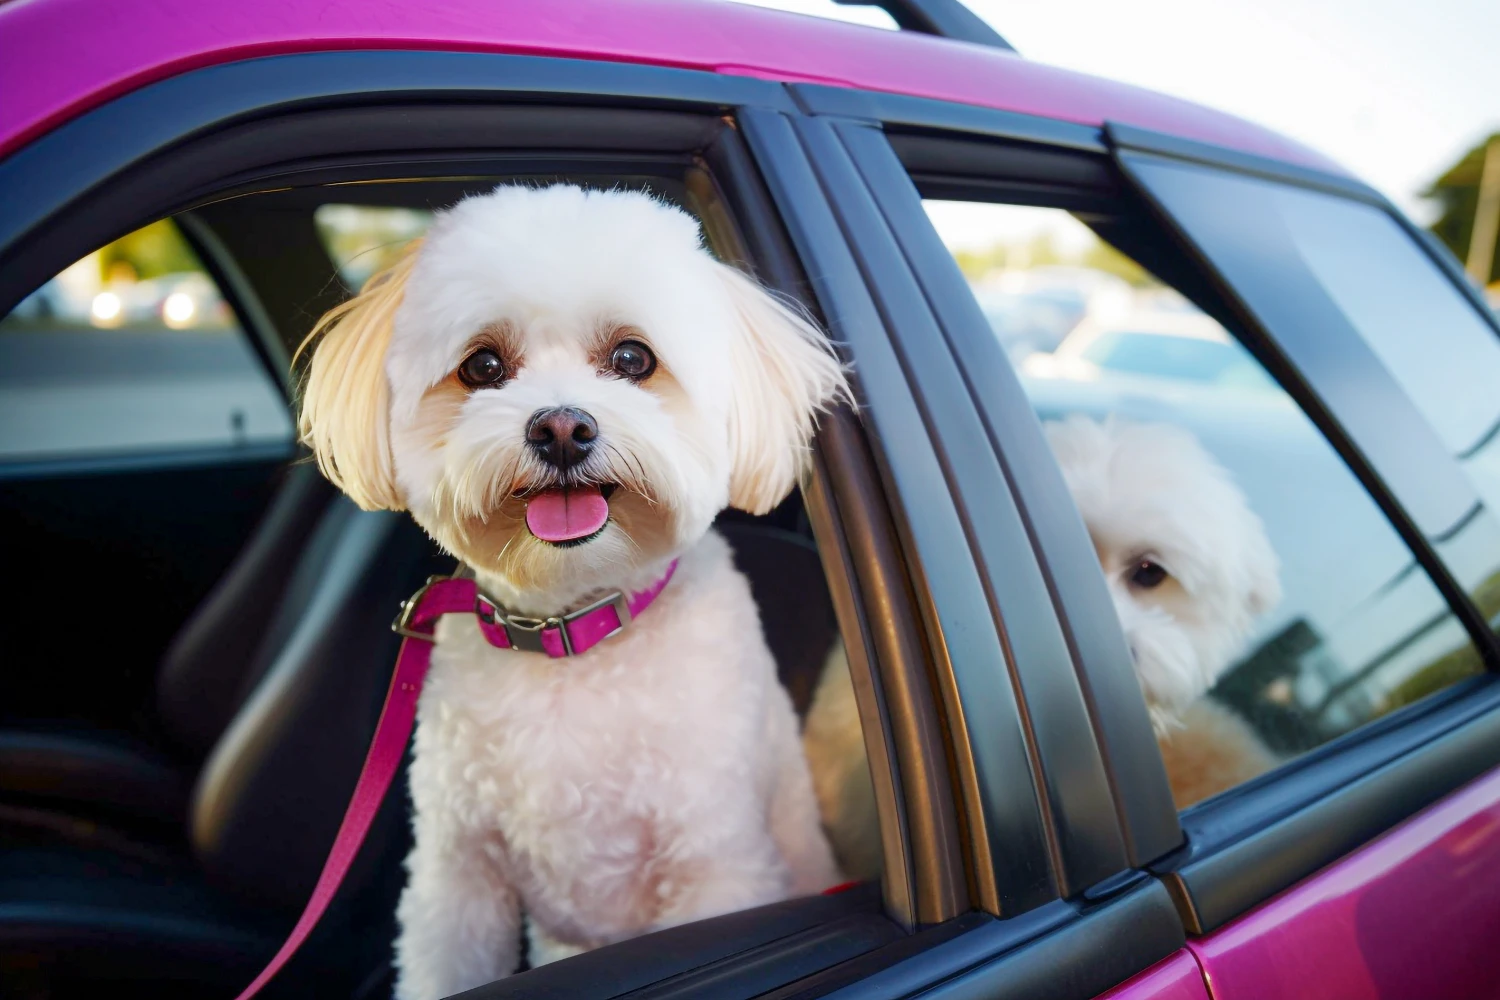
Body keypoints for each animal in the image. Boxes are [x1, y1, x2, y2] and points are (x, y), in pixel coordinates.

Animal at [298, 183, 852, 995]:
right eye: (483, 366)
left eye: (632, 358)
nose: (561, 428)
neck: (571, 633)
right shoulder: (457, 880)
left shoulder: (714, 866)